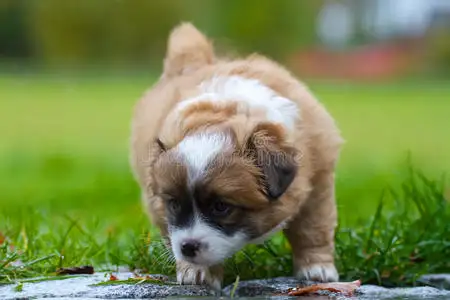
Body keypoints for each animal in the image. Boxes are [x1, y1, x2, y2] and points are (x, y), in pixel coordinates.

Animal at [128, 22, 342, 290]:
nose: (187, 248)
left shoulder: (318, 183)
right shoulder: (159, 207)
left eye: (221, 207)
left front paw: (317, 268)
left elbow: (313, 229)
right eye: (174, 204)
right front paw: (196, 271)